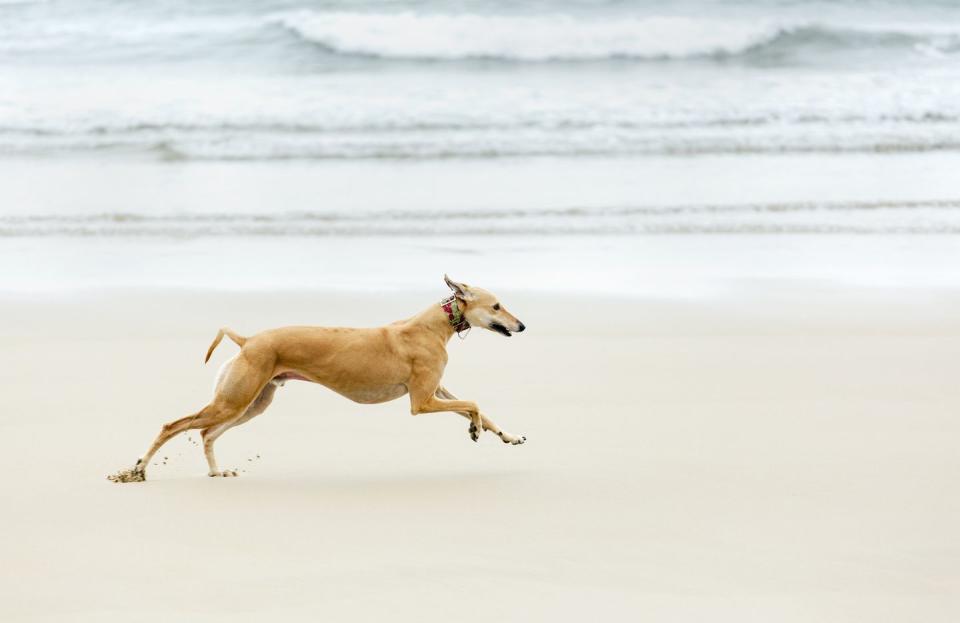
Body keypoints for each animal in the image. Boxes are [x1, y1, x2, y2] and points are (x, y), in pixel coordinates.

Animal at [118, 274, 532, 482]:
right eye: (497, 305)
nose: (522, 326)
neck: (433, 324)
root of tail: (248, 340)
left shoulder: (438, 391)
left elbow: (480, 408)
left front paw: (508, 435)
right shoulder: (422, 401)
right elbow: (473, 404)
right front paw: (474, 429)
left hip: (252, 403)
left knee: (206, 433)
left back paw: (217, 471)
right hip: (235, 399)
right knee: (175, 425)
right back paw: (137, 468)